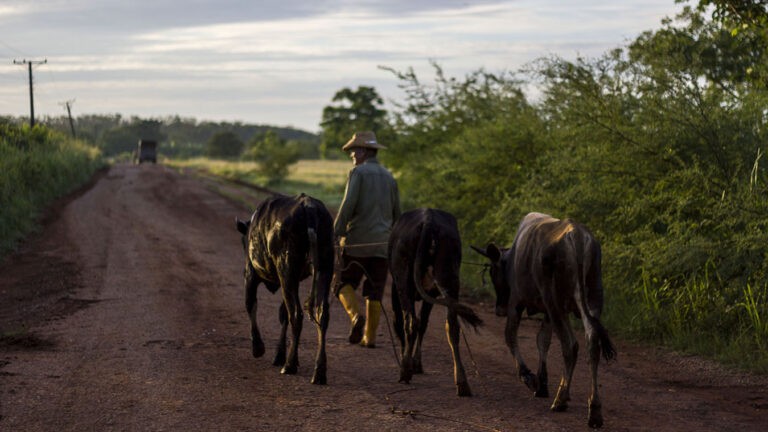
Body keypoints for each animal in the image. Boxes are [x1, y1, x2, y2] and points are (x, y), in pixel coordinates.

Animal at [236, 192, 334, 384]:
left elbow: (250, 304)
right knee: (321, 314)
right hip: (324, 268)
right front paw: (279, 355)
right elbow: (282, 315)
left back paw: (289, 365)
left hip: (286, 269)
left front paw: (258, 348)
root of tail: (309, 206)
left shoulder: (250, 274)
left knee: (296, 313)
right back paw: (319, 372)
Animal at [388, 208, 484, 396]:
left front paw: (409, 362)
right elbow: (424, 323)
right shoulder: (431, 292)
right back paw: (462, 382)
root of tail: (428, 221)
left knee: (410, 321)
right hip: (450, 278)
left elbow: (405, 322)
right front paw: (416, 362)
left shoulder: (396, 289)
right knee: (452, 326)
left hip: (404, 280)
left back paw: (405, 371)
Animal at [472, 211, 616, 426]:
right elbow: (543, 340)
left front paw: (529, 377)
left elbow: (510, 335)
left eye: (492, 271)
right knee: (591, 343)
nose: (499, 309)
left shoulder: (516, 301)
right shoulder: (548, 312)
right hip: (592, 297)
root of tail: (577, 235)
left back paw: (561, 400)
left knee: (570, 345)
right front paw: (543, 383)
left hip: (555, 300)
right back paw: (594, 409)